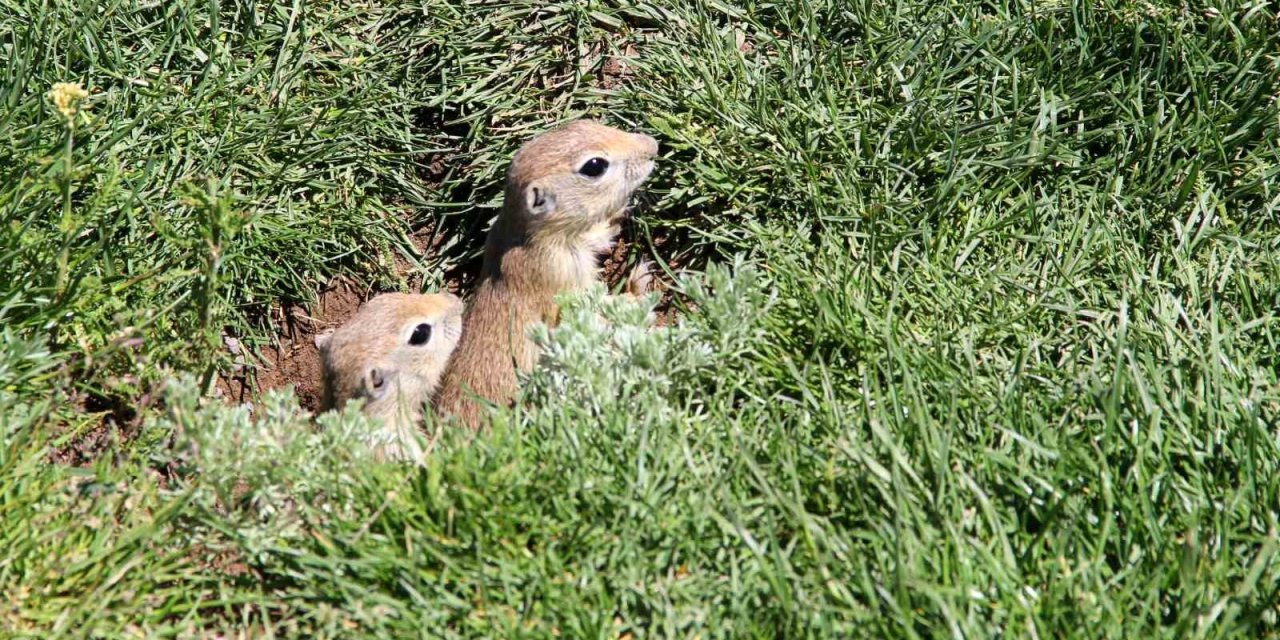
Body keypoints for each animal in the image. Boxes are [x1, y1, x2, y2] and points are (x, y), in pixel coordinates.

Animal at [437, 120, 660, 430]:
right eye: (594, 166)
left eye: (587, 123)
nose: (653, 146)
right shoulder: (559, 275)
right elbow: (591, 312)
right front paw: (637, 287)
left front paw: (619, 215)